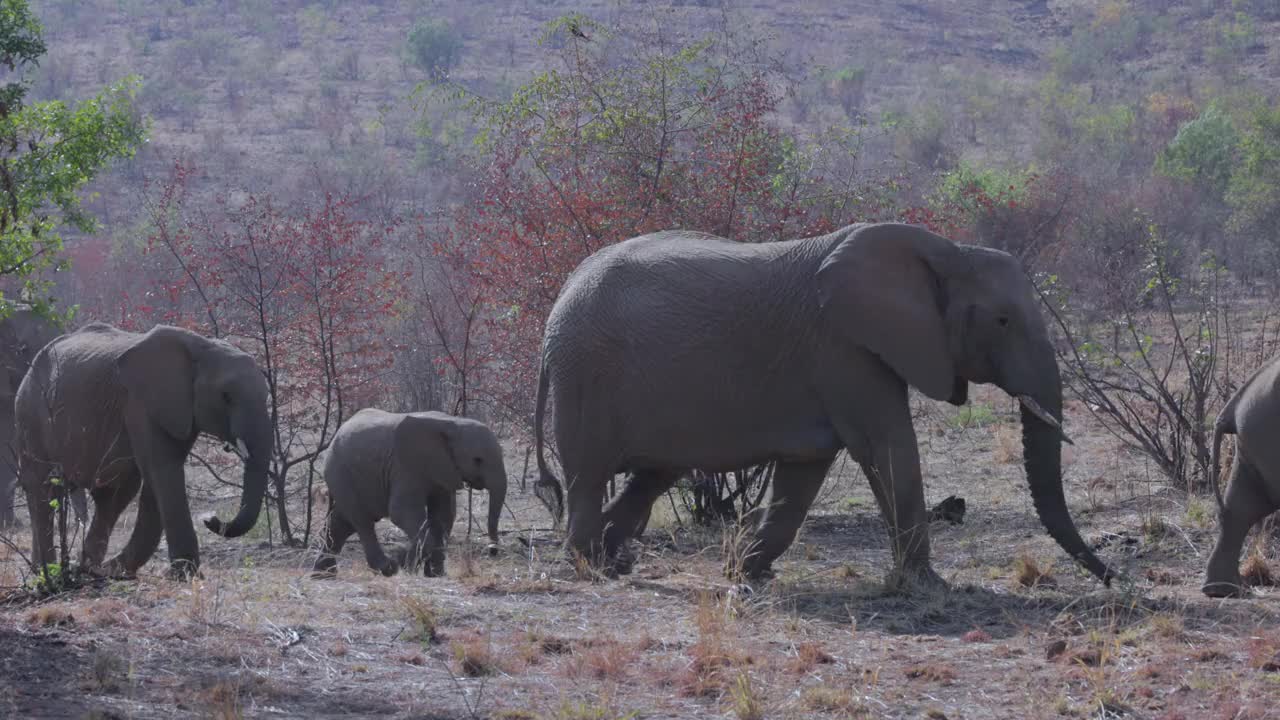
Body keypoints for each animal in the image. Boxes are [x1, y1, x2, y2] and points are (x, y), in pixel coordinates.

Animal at [12, 320, 272, 576]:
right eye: (226, 396)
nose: (210, 519)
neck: (203, 347)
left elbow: (158, 475)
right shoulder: (141, 403)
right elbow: (163, 469)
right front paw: (186, 575)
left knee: (114, 494)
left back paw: (88, 569)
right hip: (29, 414)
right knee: (42, 488)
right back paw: (50, 572)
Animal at [312, 409, 506, 576]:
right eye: (477, 460)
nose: (492, 550)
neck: (453, 423)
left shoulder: (443, 469)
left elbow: (444, 516)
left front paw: (434, 573)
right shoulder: (405, 466)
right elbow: (401, 512)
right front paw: (407, 565)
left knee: (341, 523)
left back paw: (323, 575)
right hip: (339, 472)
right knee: (361, 520)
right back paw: (387, 569)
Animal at [529, 221, 1111, 586]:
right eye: (1003, 321)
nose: (1116, 579)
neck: (947, 251)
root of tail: (557, 308)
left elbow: (804, 472)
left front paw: (746, 573)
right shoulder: (844, 347)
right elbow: (888, 445)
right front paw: (925, 585)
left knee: (651, 476)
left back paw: (615, 563)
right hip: (587, 377)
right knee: (589, 477)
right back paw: (590, 568)